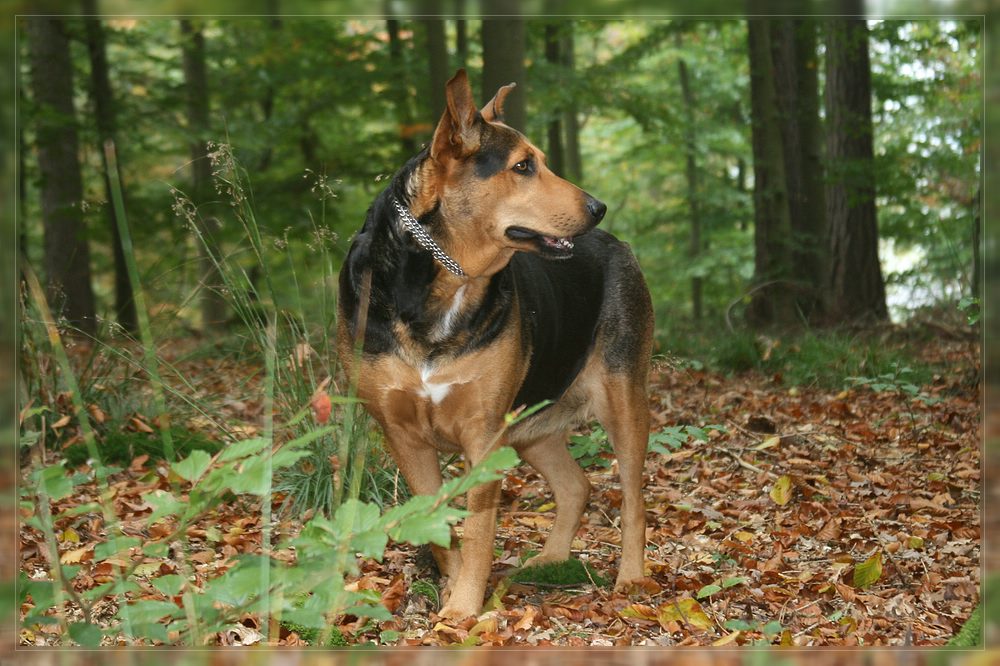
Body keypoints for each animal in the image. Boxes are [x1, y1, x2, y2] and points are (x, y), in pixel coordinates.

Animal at [340, 68, 652, 616]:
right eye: (523, 166)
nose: (598, 207)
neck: (443, 281)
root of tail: (620, 244)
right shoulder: (403, 435)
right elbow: (439, 524)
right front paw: (453, 588)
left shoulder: (482, 434)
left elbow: (480, 530)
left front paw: (463, 610)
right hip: (530, 426)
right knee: (576, 486)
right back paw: (550, 560)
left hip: (623, 398)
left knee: (634, 497)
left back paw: (631, 577)